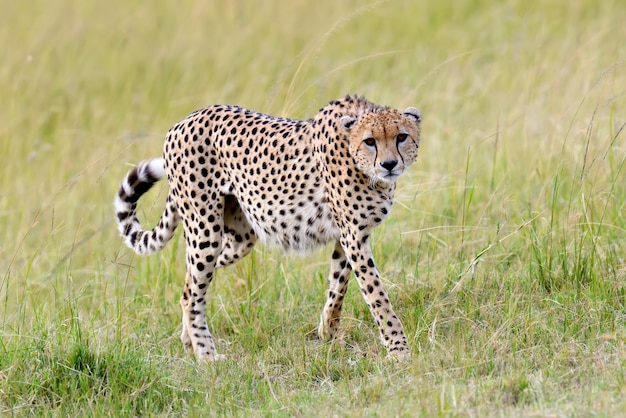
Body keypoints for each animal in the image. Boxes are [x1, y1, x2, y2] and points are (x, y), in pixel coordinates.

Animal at [115, 94, 422, 360]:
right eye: (370, 141)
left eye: (401, 137)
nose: (390, 164)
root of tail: (185, 120)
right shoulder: (353, 236)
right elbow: (377, 295)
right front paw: (399, 349)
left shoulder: (348, 235)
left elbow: (338, 287)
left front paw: (328, 335)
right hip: (205, 231)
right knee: (193, 293)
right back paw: (207, 355)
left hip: (239, 238)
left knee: (189, 285)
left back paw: (188, 341)